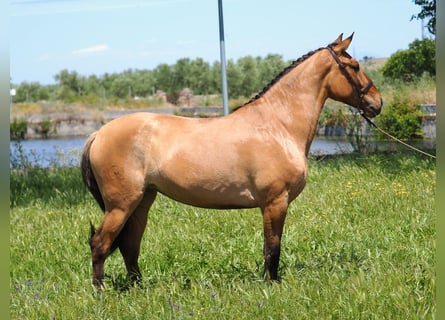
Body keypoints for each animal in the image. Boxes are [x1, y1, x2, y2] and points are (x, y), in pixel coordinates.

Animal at [80, 33, 382, 288]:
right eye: (355, 66)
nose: (377, 103)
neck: (278, 125)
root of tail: (98, 133)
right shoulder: (275, 202)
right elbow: (272, 248)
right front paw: (273, 285)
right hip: (121, 205)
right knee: (100, 244)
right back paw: (100, 290)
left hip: (142, 201)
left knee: (130, 246)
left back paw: (138, 288)